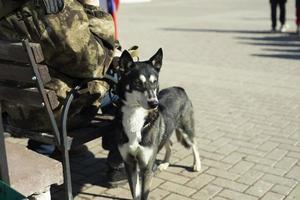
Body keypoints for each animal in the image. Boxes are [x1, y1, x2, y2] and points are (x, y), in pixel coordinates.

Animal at [116, 48, 200, 200]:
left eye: (154, 82)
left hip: (186, 128)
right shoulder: (129, 164)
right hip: (165, 130)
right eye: (137, 82)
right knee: (170, 144)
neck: (135, 116)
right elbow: (135, 193)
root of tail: (179, 88)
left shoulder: (146, 167)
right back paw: (165, 163)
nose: (154, 103)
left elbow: (143, 195)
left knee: (194, 144)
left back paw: (197, 165)